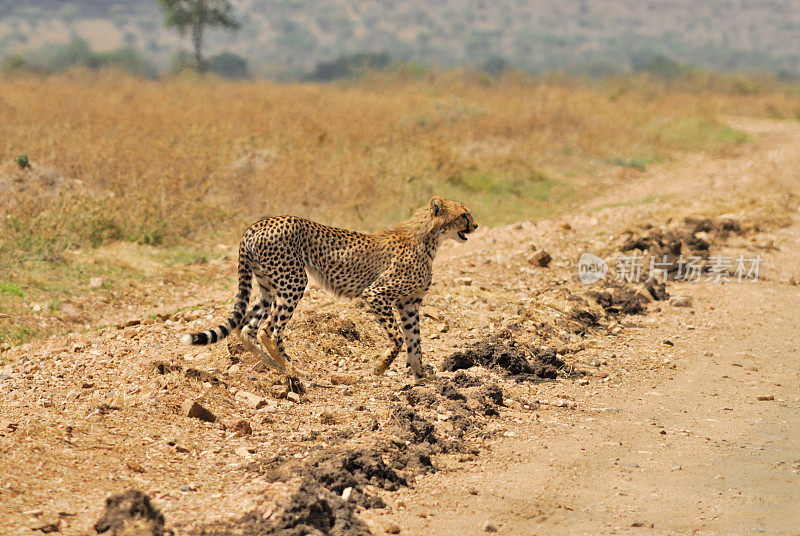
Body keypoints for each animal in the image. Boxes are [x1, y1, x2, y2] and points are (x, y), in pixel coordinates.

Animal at [180, 197, 478, 382]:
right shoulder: (377, 294)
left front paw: (421, 377)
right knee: (268, 329)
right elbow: (397, 338)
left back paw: (275, 368)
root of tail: (255, 225)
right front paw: (381, 367)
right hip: (293, 281)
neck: (430, 238)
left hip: (268, 287)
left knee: (247, 328)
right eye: (463, 214)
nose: (475, 225)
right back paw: (294, 371)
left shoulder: (410, 302)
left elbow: (415, 340)